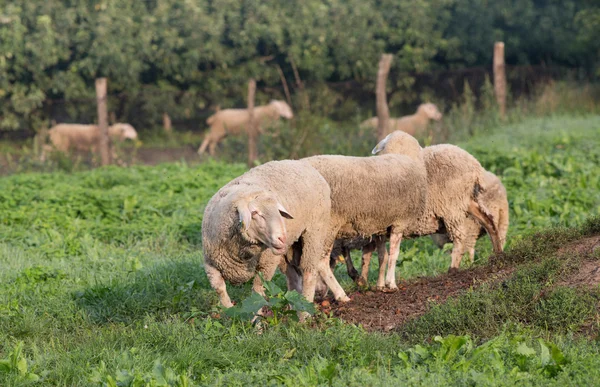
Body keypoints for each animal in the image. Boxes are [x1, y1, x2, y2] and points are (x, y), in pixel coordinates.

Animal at [203, 159, 350, 310]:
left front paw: (256, 316)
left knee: (309, 270)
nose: (282, 238)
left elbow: (257, 292)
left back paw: (306, 309)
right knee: (292, 276)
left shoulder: (266, 266)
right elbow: (219, 288)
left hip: (315, 230)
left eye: (278, 212)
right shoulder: (210, 263)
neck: (240, 251)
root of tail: (298, 162)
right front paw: (228, 311)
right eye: (254, 213)